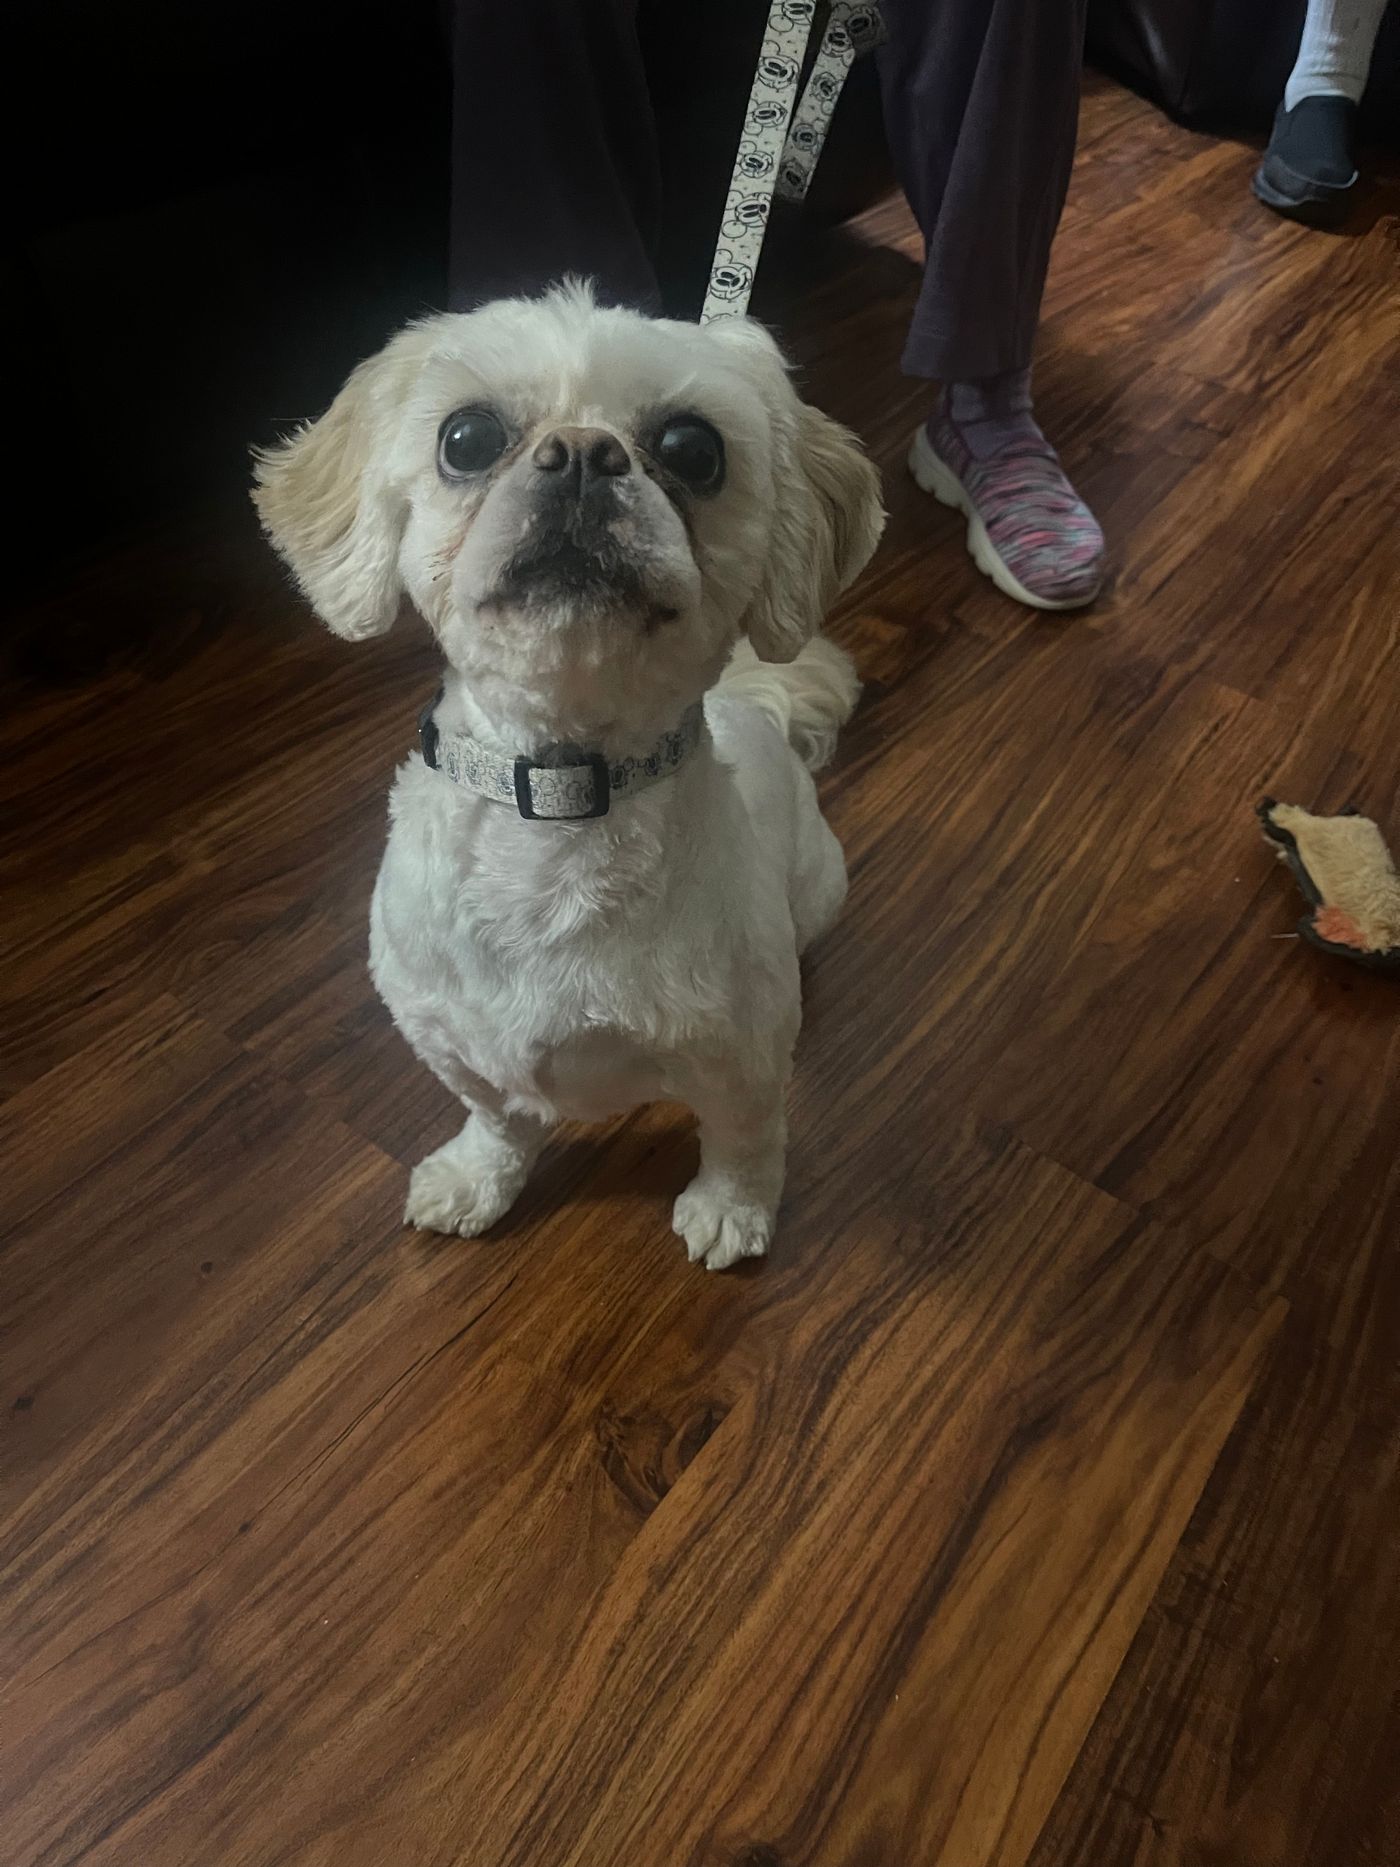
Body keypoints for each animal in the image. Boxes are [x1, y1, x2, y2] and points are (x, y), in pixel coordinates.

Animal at [254, 284, 884, 1269]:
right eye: (467, 438)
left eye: (694, 450)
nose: (584, 453)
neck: (559, 800)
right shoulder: (450, 1040)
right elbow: (498, 1118)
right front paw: (478, 1178)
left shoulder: (740, 1057)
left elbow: (745, 1139)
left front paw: (733, 1209)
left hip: (820, 884)